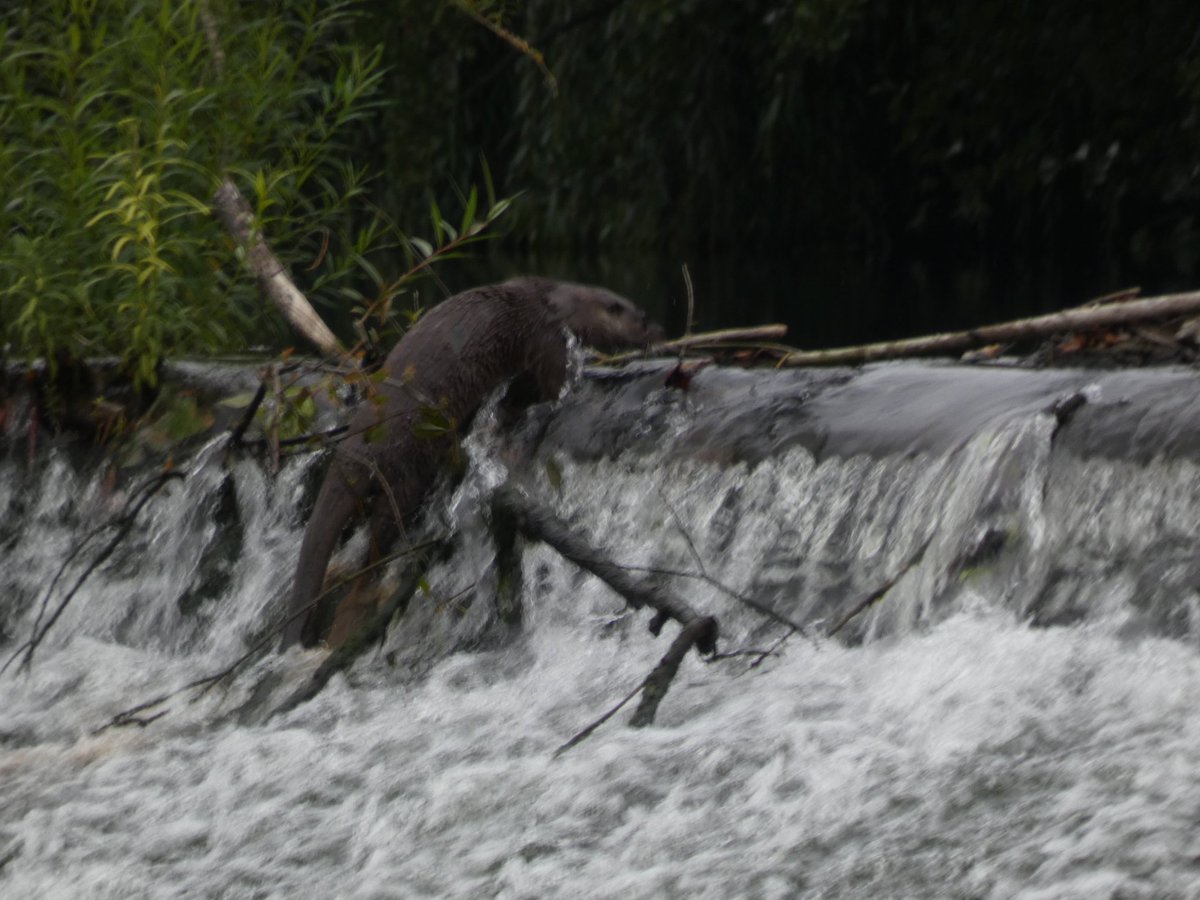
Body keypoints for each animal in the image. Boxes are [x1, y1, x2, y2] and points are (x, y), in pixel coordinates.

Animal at [279, 277, 661, 648]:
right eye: (641, 318)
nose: (656, 333)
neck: (557, 305)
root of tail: (360, 440)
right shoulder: (546, 339)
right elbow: (551, 386)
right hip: (406, 467)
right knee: (383, 531)